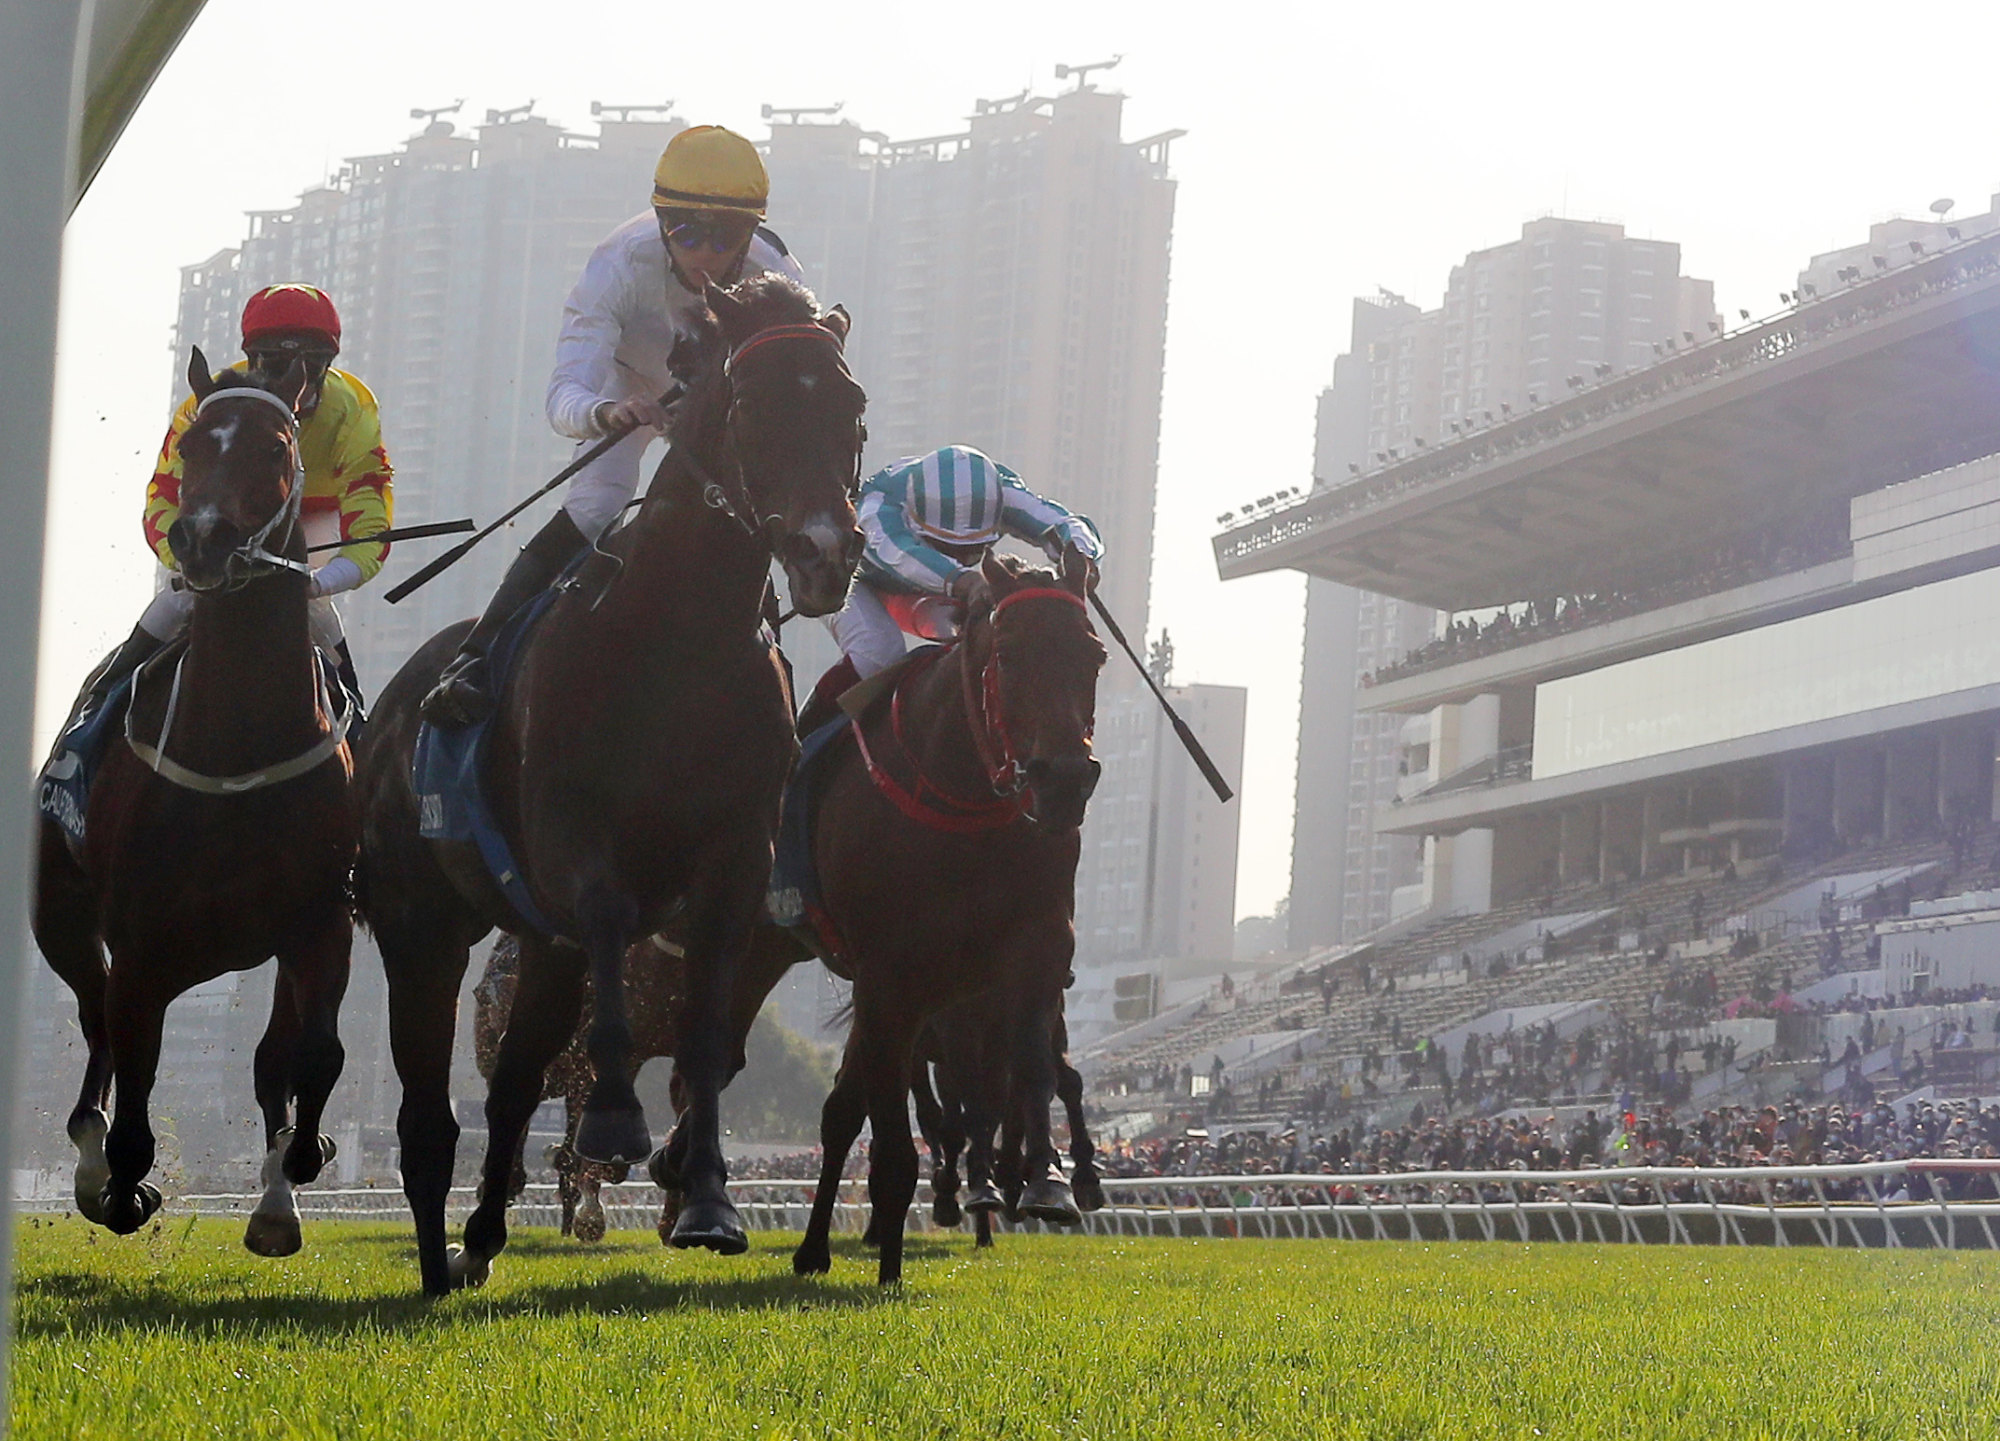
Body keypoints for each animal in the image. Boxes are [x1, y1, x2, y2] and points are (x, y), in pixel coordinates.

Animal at [34, 354, 360, 1256]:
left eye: (276, 445)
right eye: (191, 444)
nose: (202, 537)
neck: (238, 743)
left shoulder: (320, 919)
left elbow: (314, 1054)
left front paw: (301, 1164)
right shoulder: (142, 940)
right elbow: (133, 1100)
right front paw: (120, 1190)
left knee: (265, 1056)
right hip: (64, 922)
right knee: (98, 1030)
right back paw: (91, 1172)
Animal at [356, 272, 864, 1296]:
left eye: (852, 409)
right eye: (754, 407)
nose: (828, 551)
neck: (678, 637)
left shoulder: (735, 861)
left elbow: (704, 1033)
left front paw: (706, 1199)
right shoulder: (573, 838)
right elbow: (609, 922)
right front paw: (617, 1121)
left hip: (533, 948)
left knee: (515, 1079)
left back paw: (480, 1236)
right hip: (417, 920)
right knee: (432, 1100)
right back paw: (439, 1251)